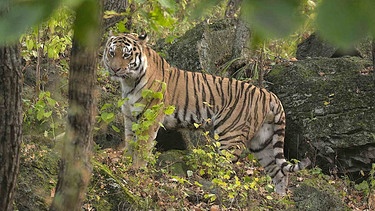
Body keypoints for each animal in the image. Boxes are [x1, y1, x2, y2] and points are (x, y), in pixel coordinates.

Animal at [103, 32, 312, 195]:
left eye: (127, 55)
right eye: (112, 53)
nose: (114, 68)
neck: (129, 82)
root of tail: (269, 94)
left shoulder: (150, 117)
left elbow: (142, 146)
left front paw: (136, 170)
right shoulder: (130, 117)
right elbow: (130, 142)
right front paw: (125, 164)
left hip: (230, 137)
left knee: (226, 170)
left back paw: (212, 188)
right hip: (263, 141)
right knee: (279, 172)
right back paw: (279, 198)